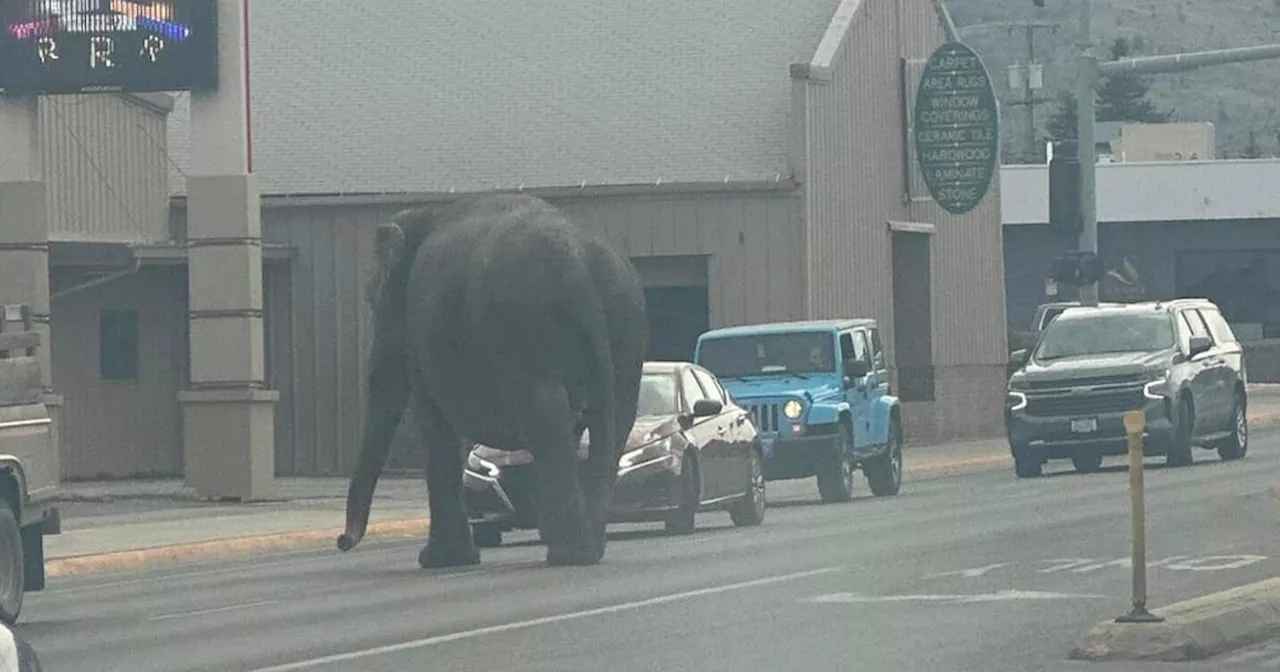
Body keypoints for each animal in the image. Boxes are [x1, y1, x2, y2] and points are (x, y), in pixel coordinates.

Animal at [337, 193, 650, 565]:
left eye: (374, 300)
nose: (342, 541)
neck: (426, 213)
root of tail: (580, 269)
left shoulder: (421, 336)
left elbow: (435, 425)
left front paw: (440, 560)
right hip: (624, 323)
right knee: (609, 424)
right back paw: (587, 549)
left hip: (525, 327)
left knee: (547, 416)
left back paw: (569, 554)